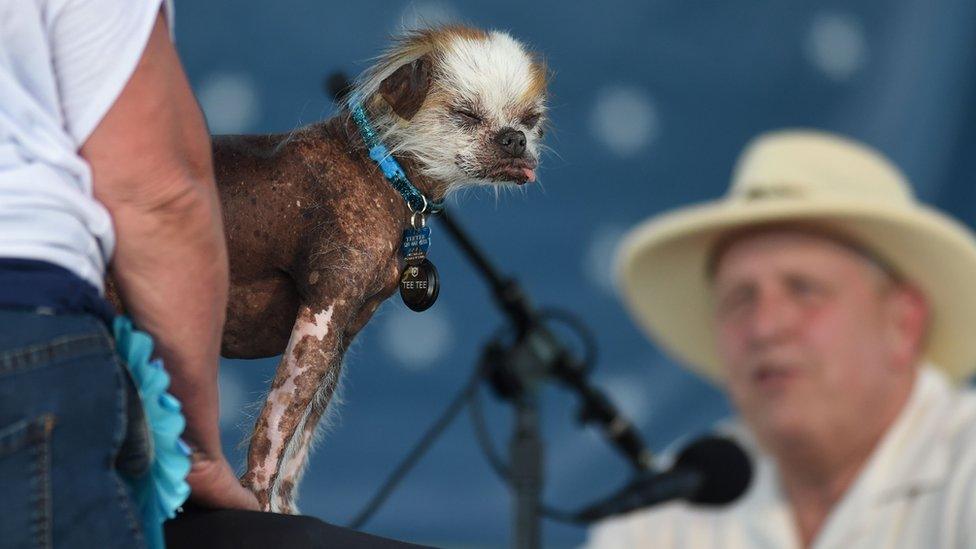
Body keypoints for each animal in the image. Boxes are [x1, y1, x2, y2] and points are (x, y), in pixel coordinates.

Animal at [213, 25, 544, 512]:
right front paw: (255, 503)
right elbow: (271, 437)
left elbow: (297, 449)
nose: (515, 139)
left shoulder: (340, 338)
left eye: (532, 119)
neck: (379, 169)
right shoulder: (319, 319)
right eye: (465, 115)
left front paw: (285, 510)